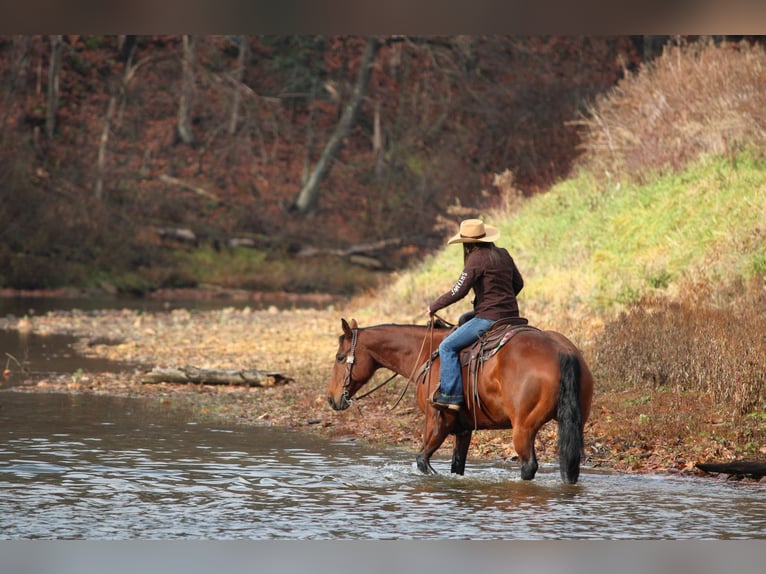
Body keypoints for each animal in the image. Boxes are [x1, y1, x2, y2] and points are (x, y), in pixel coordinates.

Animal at [326, 318, 594, 484]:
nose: (331, 398)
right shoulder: (463, 430)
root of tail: (562, 351)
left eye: (339, 357)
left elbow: (422, 461)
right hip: (573, 426)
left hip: (524, 428)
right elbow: (457, 466)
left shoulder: (438, 421)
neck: (427, 353)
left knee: (528, 466)